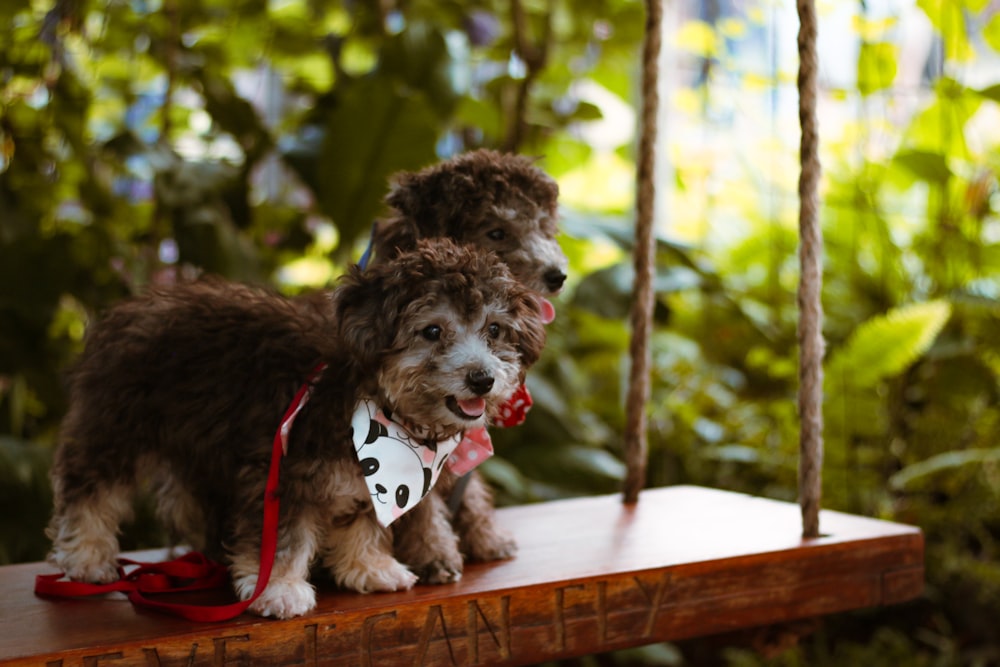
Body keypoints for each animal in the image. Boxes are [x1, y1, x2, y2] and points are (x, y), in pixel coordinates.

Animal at [45, 240, 548, 620]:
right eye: (432, 331)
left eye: (495, 330)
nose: (481, 379)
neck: (375, 401)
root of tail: (132, 307)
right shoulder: (282, 471)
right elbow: (282, 538)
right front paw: (278, 589)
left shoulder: (371, 480)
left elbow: (363, 520)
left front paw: (369, 567)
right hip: (117, 426)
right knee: (89, 488)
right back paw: (85, 557)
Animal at [370, 150, 568, 584]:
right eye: (496, 232)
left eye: (543, 227)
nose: (558, 275)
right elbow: (419, 497)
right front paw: (434, 553)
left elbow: (468, 483)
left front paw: (483, 536)